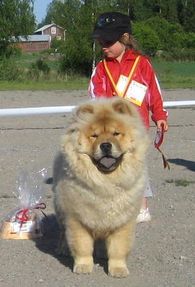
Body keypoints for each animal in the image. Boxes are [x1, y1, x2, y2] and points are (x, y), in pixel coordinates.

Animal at [52, 98, 149, 278]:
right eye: (94, 136)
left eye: (116, 133)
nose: (105, 145)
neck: (106, 184)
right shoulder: (77, 220)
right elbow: (82, 246)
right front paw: (83, 266)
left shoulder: (122, 222)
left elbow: (118, 249)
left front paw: (118, 269)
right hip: (61, 210)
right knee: (62, 232)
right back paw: (63, 249)